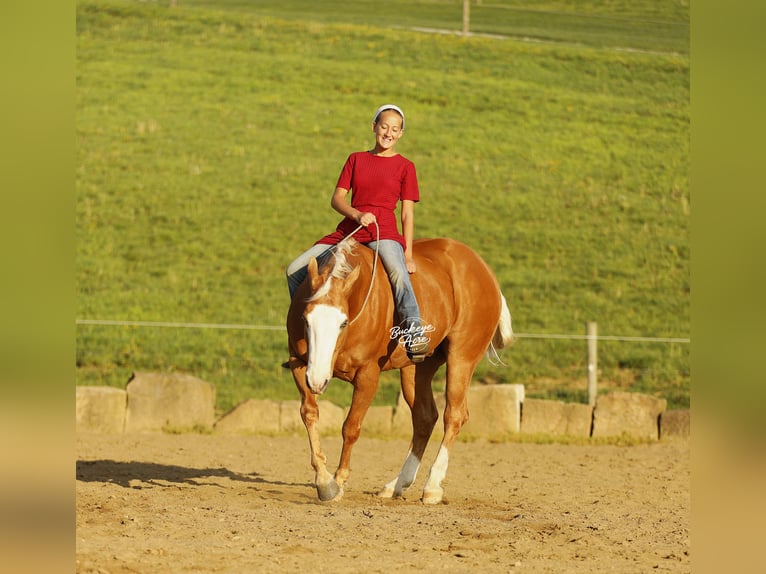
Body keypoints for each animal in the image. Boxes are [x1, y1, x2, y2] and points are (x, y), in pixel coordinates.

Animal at [285, 236, 514, 504]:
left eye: (343, 322)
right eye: (305, 318)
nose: (318, 380)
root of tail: (484, 271)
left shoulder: (368, 375)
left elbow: (351, 427)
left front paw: (338, 481)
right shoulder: (300, 365)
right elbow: (309, 414)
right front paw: (323, 481)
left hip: (461, 358)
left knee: (454, 416)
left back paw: (433, 486)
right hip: (417, 370)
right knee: (425, 418)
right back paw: (397, 483)